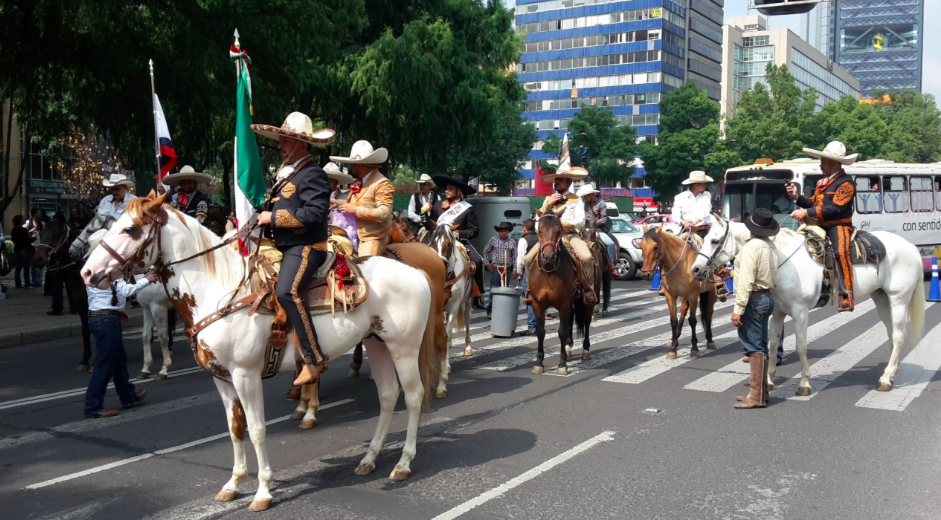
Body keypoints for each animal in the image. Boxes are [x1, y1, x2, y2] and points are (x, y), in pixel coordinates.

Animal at [81, 193, 440, 511]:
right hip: (376, 344)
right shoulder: (221, 379)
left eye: (130, 229)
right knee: (388, 396)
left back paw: (403, 464)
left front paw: (263, 491)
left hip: (404, 349)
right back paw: (369, 459)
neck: (220, 292)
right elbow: (235, 428)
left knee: (413, 397)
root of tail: (415, 270)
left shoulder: (246, 375)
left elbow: (256, 429)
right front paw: (233, 484)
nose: (86, 273)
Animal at [524, 214, 607, 375]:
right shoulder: (538, 304)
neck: (549, 272)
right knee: (570, 319)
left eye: (558, 231)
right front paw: (539, 363)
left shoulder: (563, 303)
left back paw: (585, 350)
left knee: (586, 321)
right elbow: (540, 332)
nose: (548, 257)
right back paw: (568, 347)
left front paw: (562, 365)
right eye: (539, 231)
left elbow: (561, 332)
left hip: (588, 299)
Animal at [637, 225, 717, 359]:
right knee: (684, 309)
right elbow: (673, 320)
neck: (680, 265)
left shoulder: (693, 295)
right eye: (641, 246)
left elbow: (692, 320)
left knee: (708, 313)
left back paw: (710, 340)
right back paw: (676, 338)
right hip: (684, 296)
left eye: (655, 246)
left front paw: (694, 349)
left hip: (710, 292)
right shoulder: (671, 296)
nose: (645, 274)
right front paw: (673, 349)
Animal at [690, 214, 926, 395]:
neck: (780, 260)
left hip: (898, 299)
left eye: (714, 240)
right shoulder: (777, 313)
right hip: (881, 299)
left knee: (899, 336)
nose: (695, 270)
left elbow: (801, 346)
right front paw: (768, 381)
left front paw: (804, 384)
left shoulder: (800, 312)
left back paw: (885, 380)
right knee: (892, 336)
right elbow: (772, 346)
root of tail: (911, 247)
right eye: (705, 236)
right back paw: (890, 373)